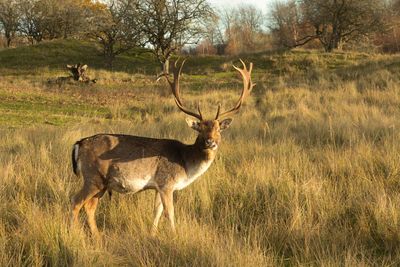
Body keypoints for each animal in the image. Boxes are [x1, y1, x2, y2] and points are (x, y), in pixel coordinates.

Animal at [70, 59, 255, 237]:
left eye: (218, 129)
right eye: (200, 129)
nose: (210, 142)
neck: (185, 164)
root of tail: (79, 143)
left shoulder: (158, 186)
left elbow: (157, 212)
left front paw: (152, 234)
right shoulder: (167, 182)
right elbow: (169, 213)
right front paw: (175, 236)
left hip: (101, 183)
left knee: (89, 207)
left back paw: (97, 237)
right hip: (93, 176)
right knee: (76, 201)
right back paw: (75, 234)